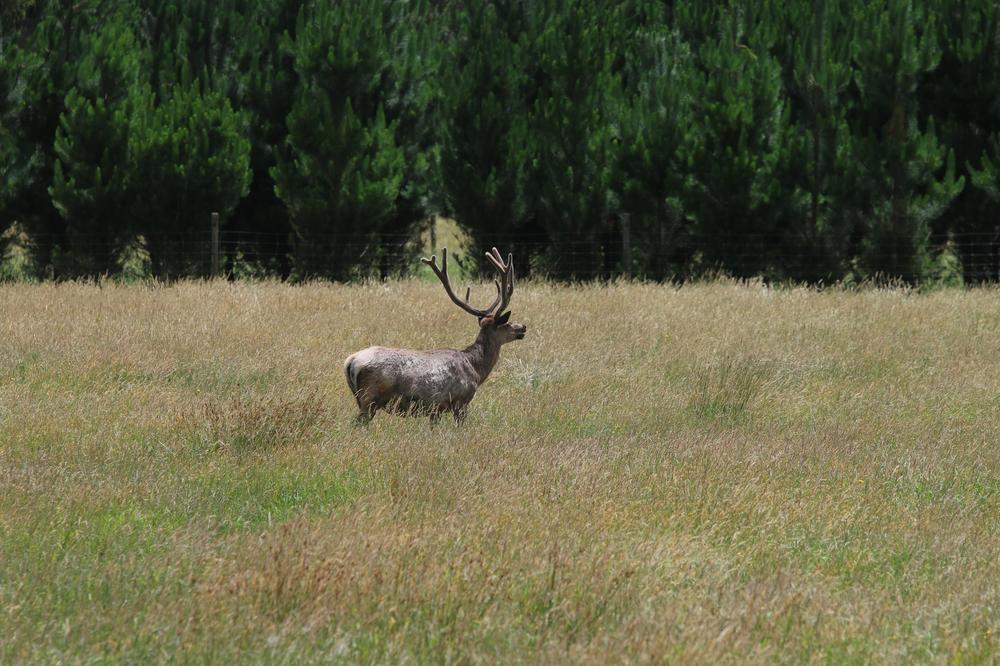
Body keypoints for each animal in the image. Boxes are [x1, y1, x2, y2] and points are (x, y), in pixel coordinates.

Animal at [344, 247, 527, 424]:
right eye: (506, 323)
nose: (523, 327)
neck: (476, 369)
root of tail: (350, 361)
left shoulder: (436, 409)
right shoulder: (461, 401)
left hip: (361, 399)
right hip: (370, 398)